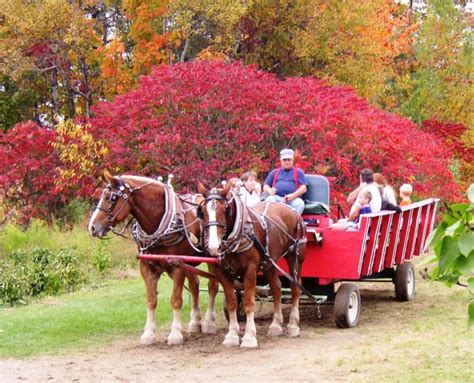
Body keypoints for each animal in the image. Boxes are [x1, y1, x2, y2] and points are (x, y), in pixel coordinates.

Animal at [88, 172, 219, 346]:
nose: (92, 227)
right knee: (195, 286)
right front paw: (148, 334)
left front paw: (175, 334)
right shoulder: (146, 267)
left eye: (111, 198)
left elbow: (176, 300)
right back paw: (195, 322)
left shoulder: (177, 266)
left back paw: (210, 322)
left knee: (212, 286)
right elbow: (151, 300)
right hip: (190, 262)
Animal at [197, 183, 306, 348]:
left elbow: (249, 302)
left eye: (224, 210)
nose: (214, 247)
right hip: (269, 262)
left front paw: (249, 336)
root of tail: (293, 211)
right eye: (203, 211)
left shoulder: (250, 270)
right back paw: (275, 325)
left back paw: (293, 325)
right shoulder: (223, 272)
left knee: (295, 288)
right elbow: (232, 303)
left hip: (295, 257)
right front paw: (232, 335)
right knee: (276, 288)